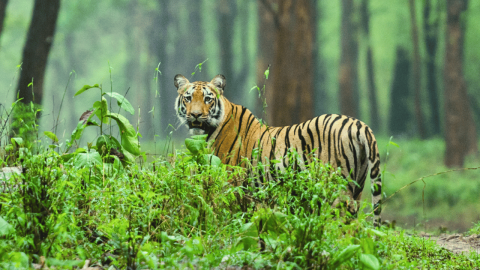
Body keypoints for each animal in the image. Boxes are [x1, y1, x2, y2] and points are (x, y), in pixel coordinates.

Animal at [173, 73, 382, 226]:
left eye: (208, 99)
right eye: (188, 98)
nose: (195, 115)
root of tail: (359, 124)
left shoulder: (231, 186)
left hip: (336, 190)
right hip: (357, 187)